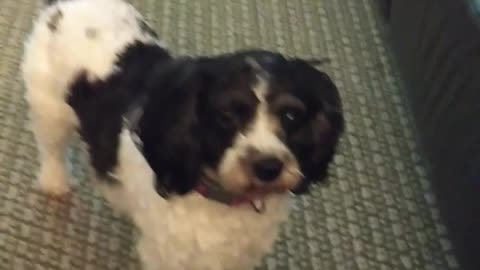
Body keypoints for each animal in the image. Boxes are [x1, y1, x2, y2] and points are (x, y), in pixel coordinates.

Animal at [22, 0, 344, 270]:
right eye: (226, 116)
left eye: (291, 116)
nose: (268, 167)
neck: (223, 200)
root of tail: (65, 5)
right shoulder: (169, 255)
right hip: (49, 108)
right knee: (51, 149)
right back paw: (56, 183)